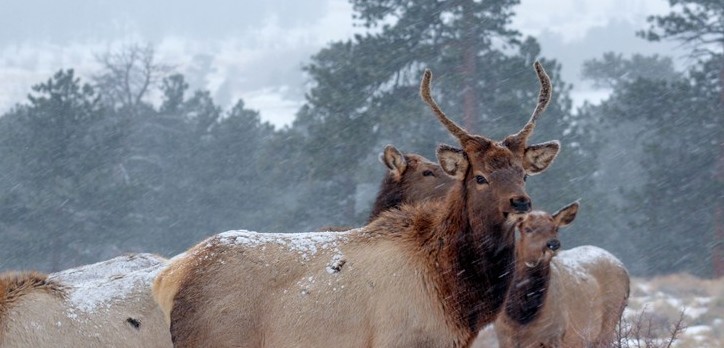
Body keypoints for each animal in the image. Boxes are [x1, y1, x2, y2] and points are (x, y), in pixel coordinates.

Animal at [151, 61, 560, 346]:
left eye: (523, 173)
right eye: (480, 177)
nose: (521, 202)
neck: (456, 296)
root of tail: (170, 276)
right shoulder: (401, 339)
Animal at [494, 204, 632, 348]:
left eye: (556, 228)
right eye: (528, 229)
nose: (553, 244)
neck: (521, 319)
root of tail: (624, 269)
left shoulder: (555, 333)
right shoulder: (503, 336)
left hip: (611, 317)